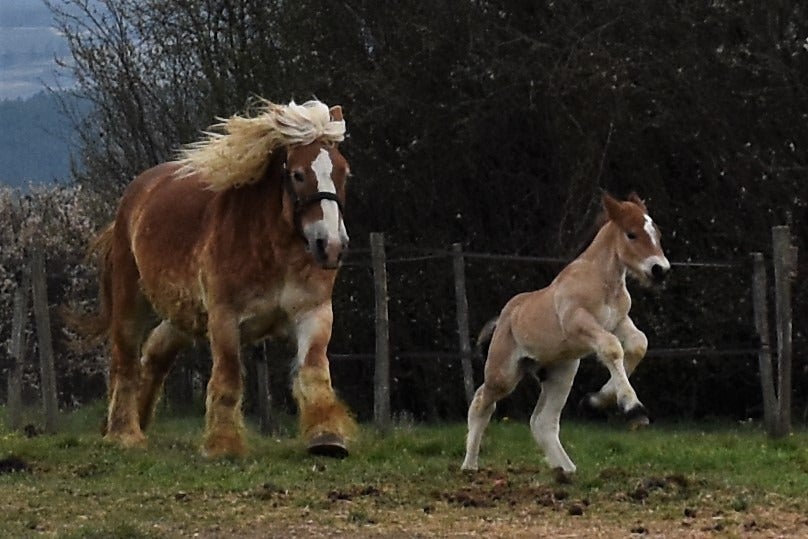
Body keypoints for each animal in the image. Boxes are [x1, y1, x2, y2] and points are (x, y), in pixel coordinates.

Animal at [87, 99, 356, 458]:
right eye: (298, 175)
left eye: (343, 173)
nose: (332, 246)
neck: (273, 249)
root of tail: (138, 191)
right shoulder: (224, 318)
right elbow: (228, 377)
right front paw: (223, 445)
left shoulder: (314, 313)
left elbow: (313, 371)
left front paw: (327, 438)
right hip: (131, 301)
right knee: (126, 359)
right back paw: (125, 433)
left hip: (184, 313)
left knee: (156, 351)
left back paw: (139, 421)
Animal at [460, 192, 668, 474]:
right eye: (632, 234)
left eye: (657, 234)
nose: (660, 270)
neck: (602, 282)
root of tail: (504, 317)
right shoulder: (577, 322)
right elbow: (612, 348)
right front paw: (634, 409)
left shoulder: (618, 322)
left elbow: (638, 344)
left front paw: (595, 401)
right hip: (504, 374)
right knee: (482, 402)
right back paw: (469, 464)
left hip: (561, 373)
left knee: (542, 422)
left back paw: (566, 470)